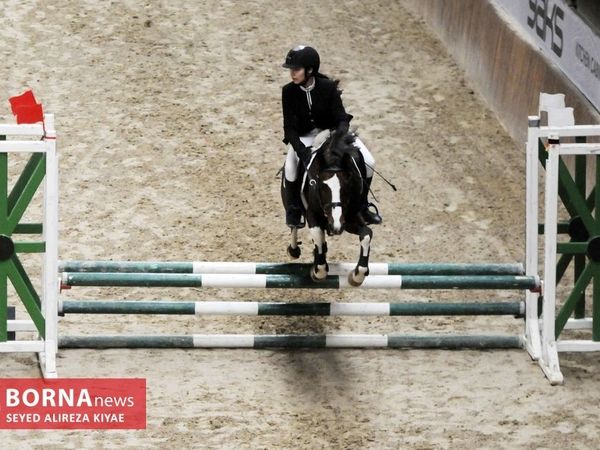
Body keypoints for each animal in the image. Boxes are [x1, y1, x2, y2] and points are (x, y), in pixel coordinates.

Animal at [280, 128, 372, 286]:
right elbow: (317, 234)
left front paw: (357, 275)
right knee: (294, 226)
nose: (335, 227)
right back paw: (294, 250)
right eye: (321, 187)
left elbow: (366, 234)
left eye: (347, 186)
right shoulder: (312, 214)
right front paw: (318, 271)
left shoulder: (350, 217)